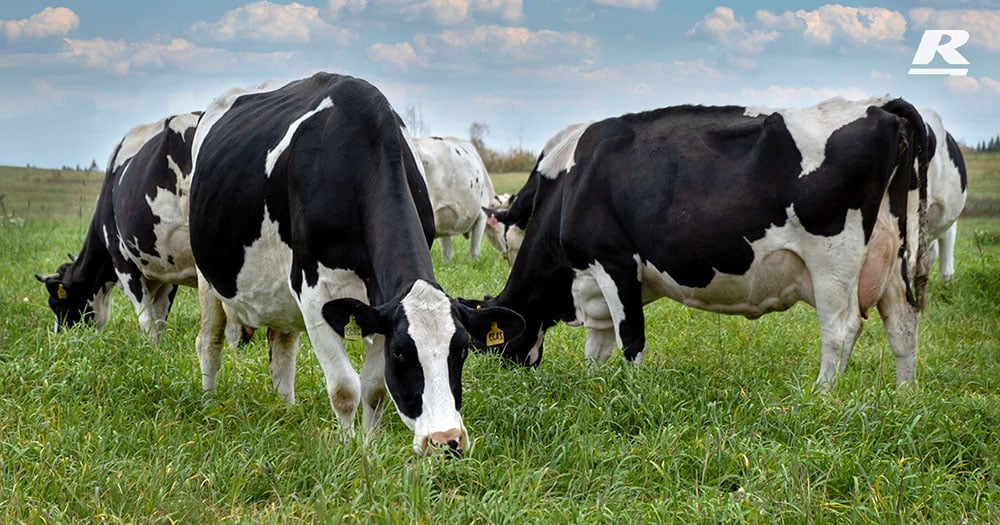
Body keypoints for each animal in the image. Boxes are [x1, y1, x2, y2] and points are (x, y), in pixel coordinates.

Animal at [33, 111, 256, 340]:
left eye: (56, 303)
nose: (61, 339)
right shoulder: (166, 269)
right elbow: (160, 317)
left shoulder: (123, 261)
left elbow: (146, 318)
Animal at [190, 72, 528, 454]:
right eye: (400, 353)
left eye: (462, 350)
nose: (446, 440)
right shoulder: (314, 294)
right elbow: (344, 388)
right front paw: (348, 447)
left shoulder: (380, 304)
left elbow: (375, 389)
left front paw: (371, 444)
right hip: (207, 275)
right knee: (209, 341)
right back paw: (210, 403)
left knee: (282, 350)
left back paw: (285, 409)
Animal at [468, 96, 928, 390]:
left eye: (493, 346)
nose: (510, 377)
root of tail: (881, 107)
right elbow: (597, 348)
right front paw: (596, 386)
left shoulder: (614, 263)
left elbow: (630, 339)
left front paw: (633, 392)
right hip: (894, 256)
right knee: (902, 325)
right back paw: (903, 399)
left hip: (833, 259)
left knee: (840, 328)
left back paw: (821, 396)